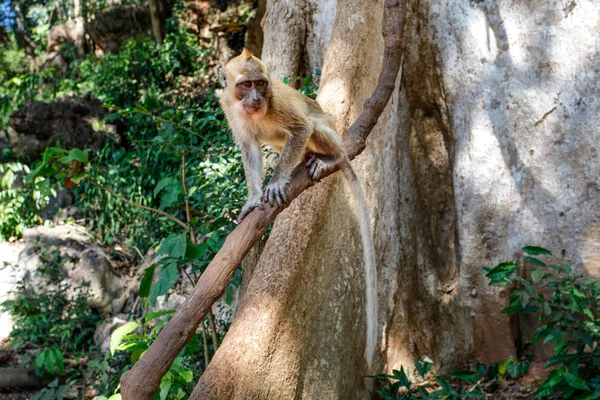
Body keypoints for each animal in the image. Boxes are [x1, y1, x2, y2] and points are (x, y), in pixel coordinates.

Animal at [218, 47, 378, 368]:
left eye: (261, 84)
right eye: (246, 85)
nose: (256, 99)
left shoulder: (277, 103)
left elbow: (302, 127)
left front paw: (277, 181)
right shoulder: (230, 108)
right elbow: (250, 148)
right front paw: (253, 198)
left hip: (332, 137)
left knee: (313, 128)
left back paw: (327, 159)